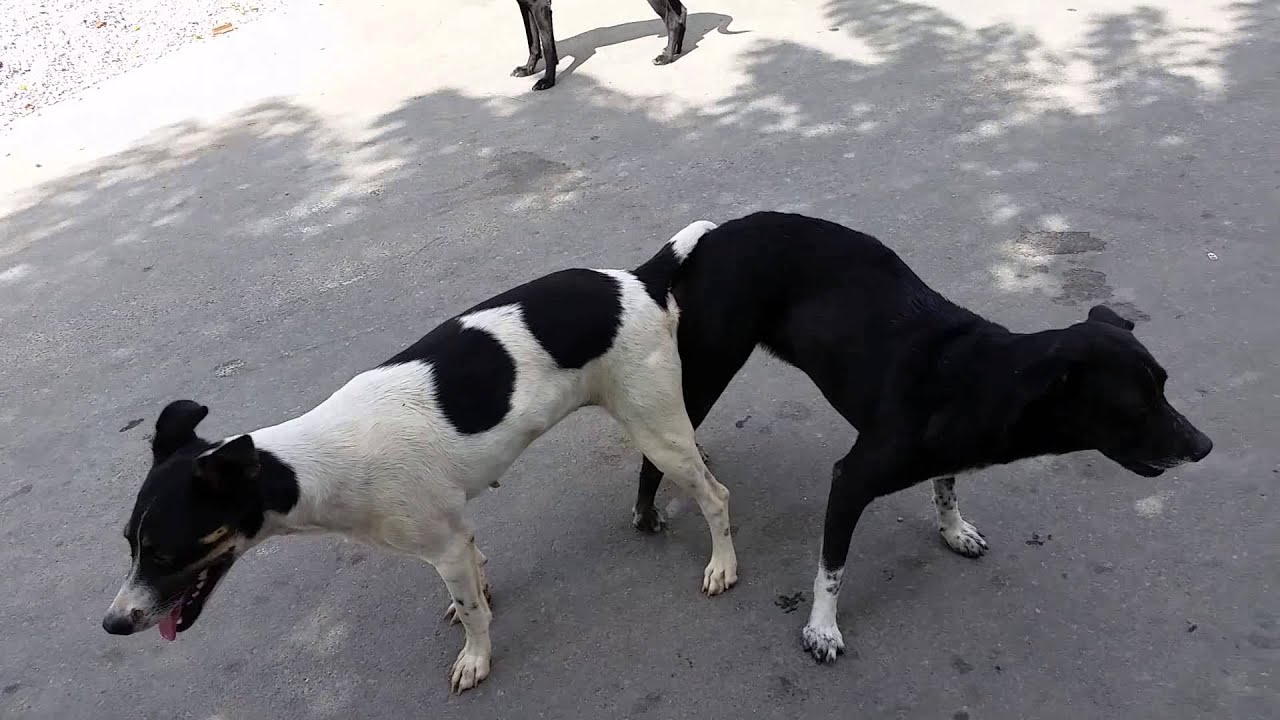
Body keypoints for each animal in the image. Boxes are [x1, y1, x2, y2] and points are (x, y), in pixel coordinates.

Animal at [102, 220, 742, 691]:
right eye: (130, 543)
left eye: (164, 552)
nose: (112, 624)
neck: (316, 466)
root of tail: (637, 278)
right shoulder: (456, 533)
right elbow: (476, 577)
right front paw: (478, 601)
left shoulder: (442, 546)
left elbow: (473, 613)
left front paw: (475, 657)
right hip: (655, 421)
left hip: (656, 430)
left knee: (715, 496)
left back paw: (722, 564)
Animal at [509, 0, 691, 89]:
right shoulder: (526, 5)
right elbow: (533, 41)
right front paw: (528, 69)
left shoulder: (539, 5)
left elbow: (547, 48)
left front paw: (547, 81)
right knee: (680, 11)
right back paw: (674, 49)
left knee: (672, 18)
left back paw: (667, 57)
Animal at [634, 211, 1213, 661]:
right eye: (1135, 407)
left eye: (1164, 386)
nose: (1204, 447)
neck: (986, 381)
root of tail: (712, 238)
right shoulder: (850, 480)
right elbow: (832, 568)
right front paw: (822, 628)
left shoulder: (948, 454)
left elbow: (946, 487)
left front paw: (954, 530)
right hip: (707, 367)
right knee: (656, 448)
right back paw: (646, 512)